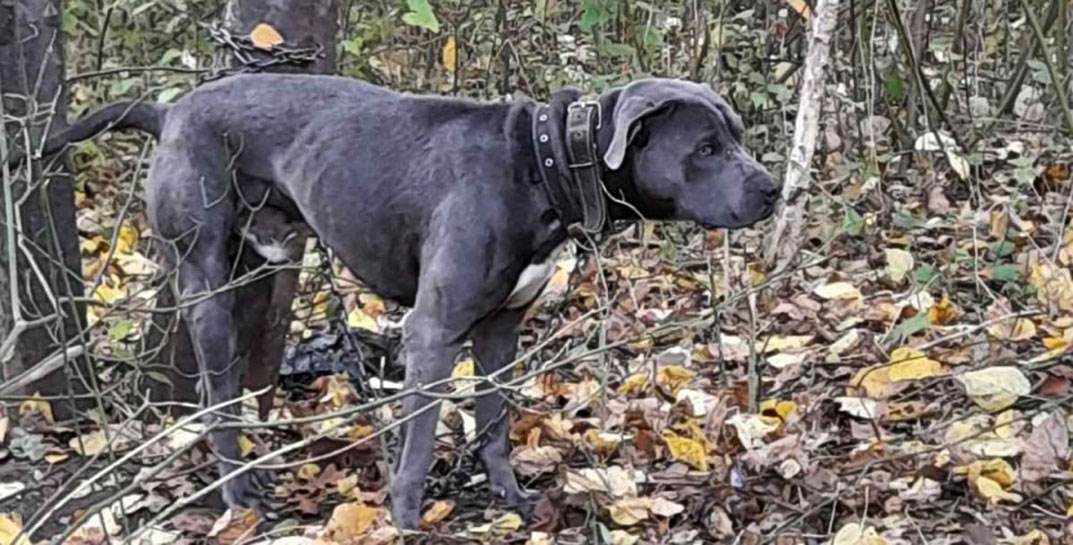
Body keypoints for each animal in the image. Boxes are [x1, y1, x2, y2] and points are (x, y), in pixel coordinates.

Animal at [27, 72, 781, 527]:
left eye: (736, 137)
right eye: (706, 147)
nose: (773, 189)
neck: (543, 164)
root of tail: (172, 108)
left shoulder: (501, 329)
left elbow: (494, 422)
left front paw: (509, 498)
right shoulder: (434, 329)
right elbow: (419, 441)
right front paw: (407, 518)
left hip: (261, 268)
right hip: (205, 277)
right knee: (215, 388)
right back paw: (239, 489)